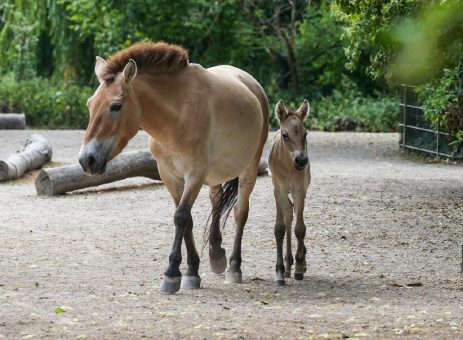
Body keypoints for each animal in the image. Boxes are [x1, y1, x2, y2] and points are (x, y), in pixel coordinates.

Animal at [78, 41, 270, 294]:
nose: (87, 160)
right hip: (216, 175)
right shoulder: (169, 176)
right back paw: (216, 255)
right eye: (90, 104)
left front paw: (172, 274)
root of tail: (253, 85)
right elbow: (186, 220)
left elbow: (181, 216)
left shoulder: (194, 175)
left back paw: (234, 268)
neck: (177, 116)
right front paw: (191, 271)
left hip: (249, 169)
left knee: (240, 213)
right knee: (217, 201)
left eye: (116, 106)